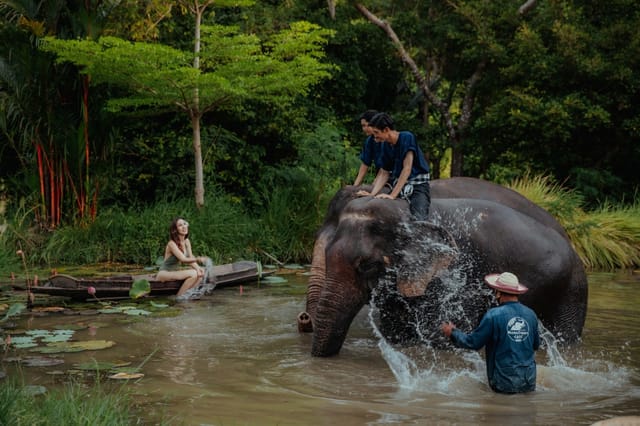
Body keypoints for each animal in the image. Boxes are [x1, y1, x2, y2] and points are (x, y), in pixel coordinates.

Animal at [300, 178, 592, 358]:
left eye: (368, 265)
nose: (304, 319)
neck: (403, 209)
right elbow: (396, 331)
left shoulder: (457, 274)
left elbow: (442, 333)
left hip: (571, 291)